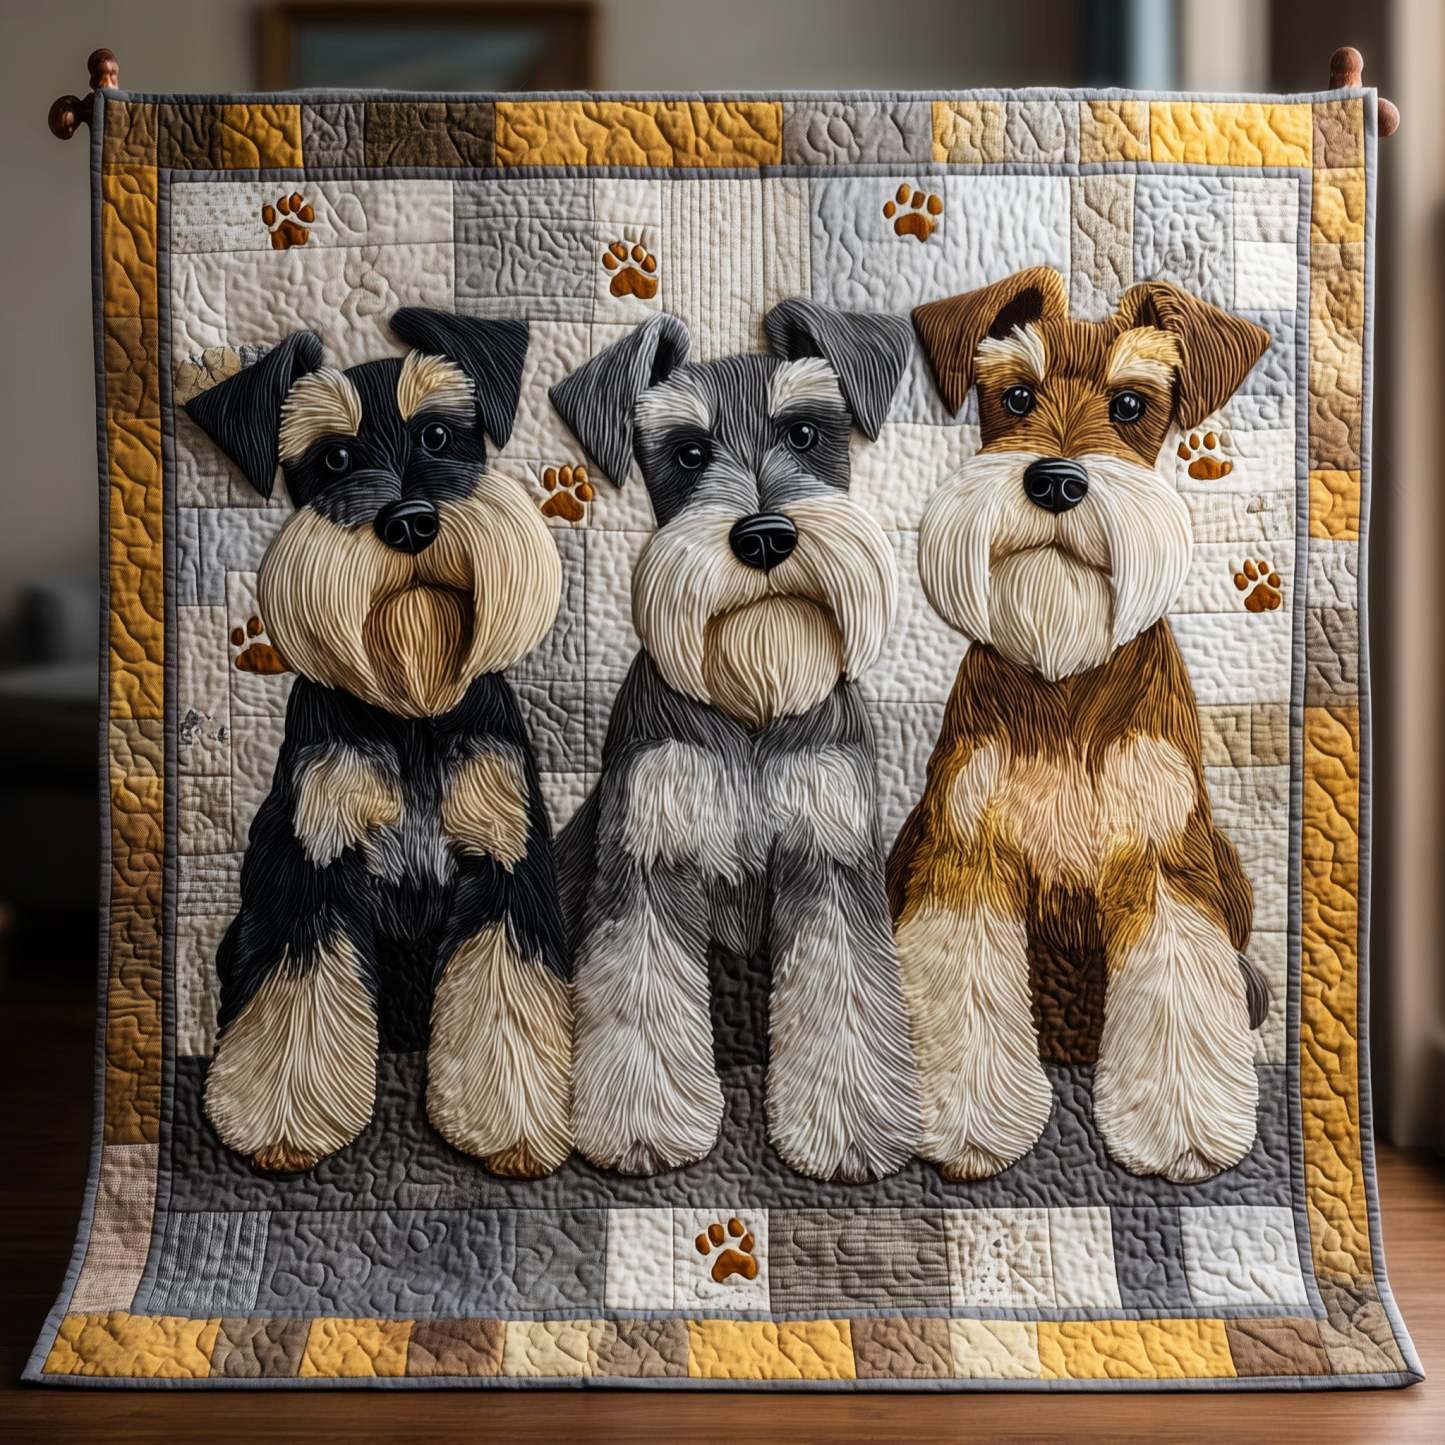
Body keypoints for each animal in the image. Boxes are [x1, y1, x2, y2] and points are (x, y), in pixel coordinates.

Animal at [184, 308, 572, 1178]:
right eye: (332, 458)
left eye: (438, 435)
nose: (409, 523)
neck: (410, 709)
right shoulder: (311, 868)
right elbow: (297, 989)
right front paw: (281, 1121)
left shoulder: (504, 863)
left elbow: (507, 987)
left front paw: (514, 1123)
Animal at [548, 300, 924, 1182]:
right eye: (687, 452)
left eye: (804, 432)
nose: (762, 537)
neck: (751, 697)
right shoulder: (646, 857)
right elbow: (637, 987)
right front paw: (641, 1127)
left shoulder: (831, 856)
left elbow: (845, 988)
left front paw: (852, 1128)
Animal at [887, 266, 1273, 1184]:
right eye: (1016, 396)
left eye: (1131, 405)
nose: (1056, 481)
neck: (1063, 677)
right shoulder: (963, 853)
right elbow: (961, 984)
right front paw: (967, 1123)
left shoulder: (1164, 860)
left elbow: (1175, 984)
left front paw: (1180, 1131)